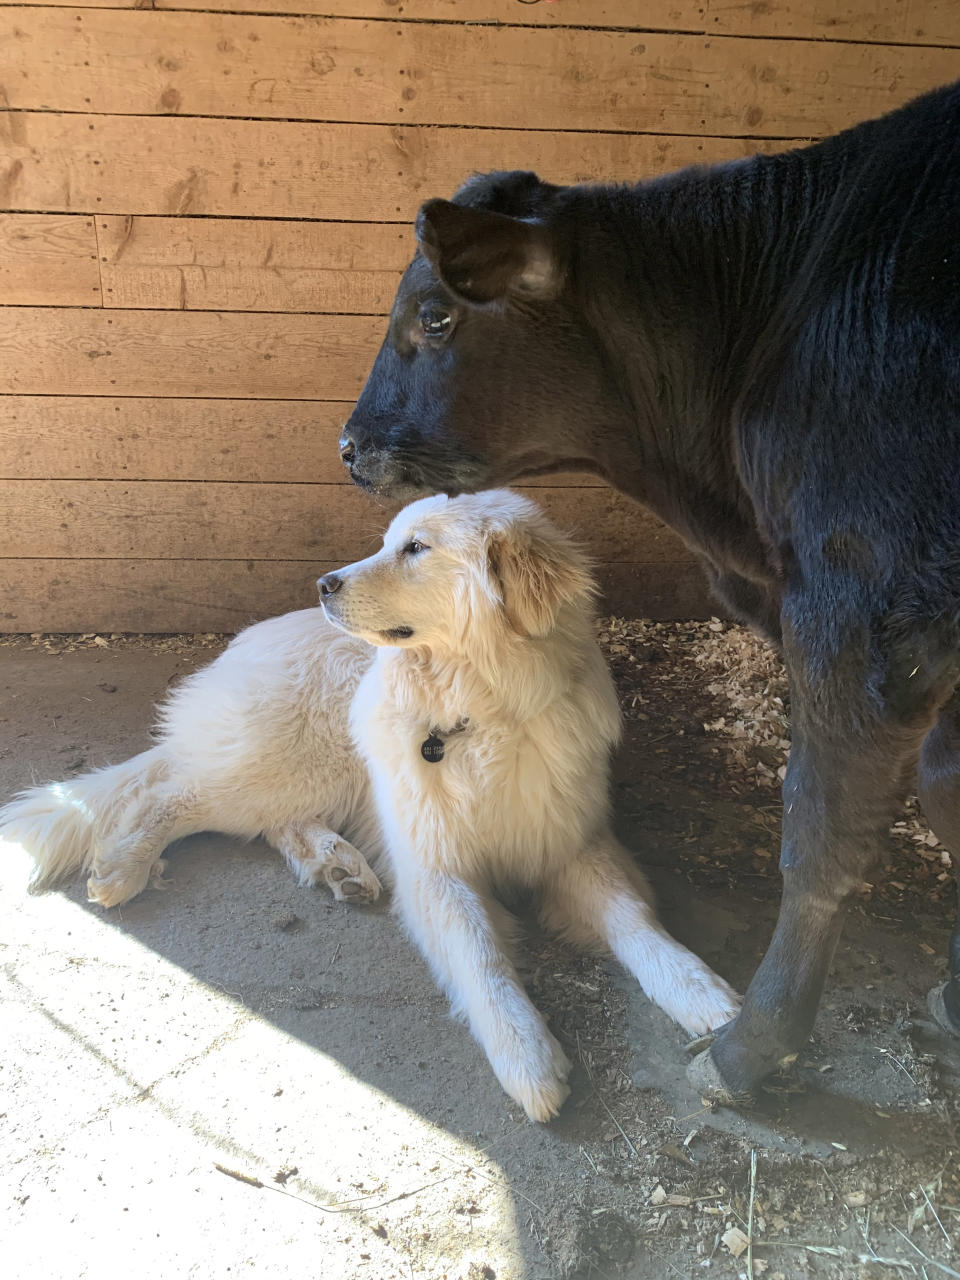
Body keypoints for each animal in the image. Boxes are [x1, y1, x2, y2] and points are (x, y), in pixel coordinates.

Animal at [0, 488, 742, 1121]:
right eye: (389, 540)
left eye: (416, 548)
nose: (324, 583)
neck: (481, 714)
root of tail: (243, 645)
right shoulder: (437, 871)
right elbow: (481, 958)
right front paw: (527, 1057)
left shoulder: (573, 844)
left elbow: (635, 923)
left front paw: (702, 992)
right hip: (297, 760)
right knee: (173, 792)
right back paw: (124, 866)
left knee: (256, 819)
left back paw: (337, 864)